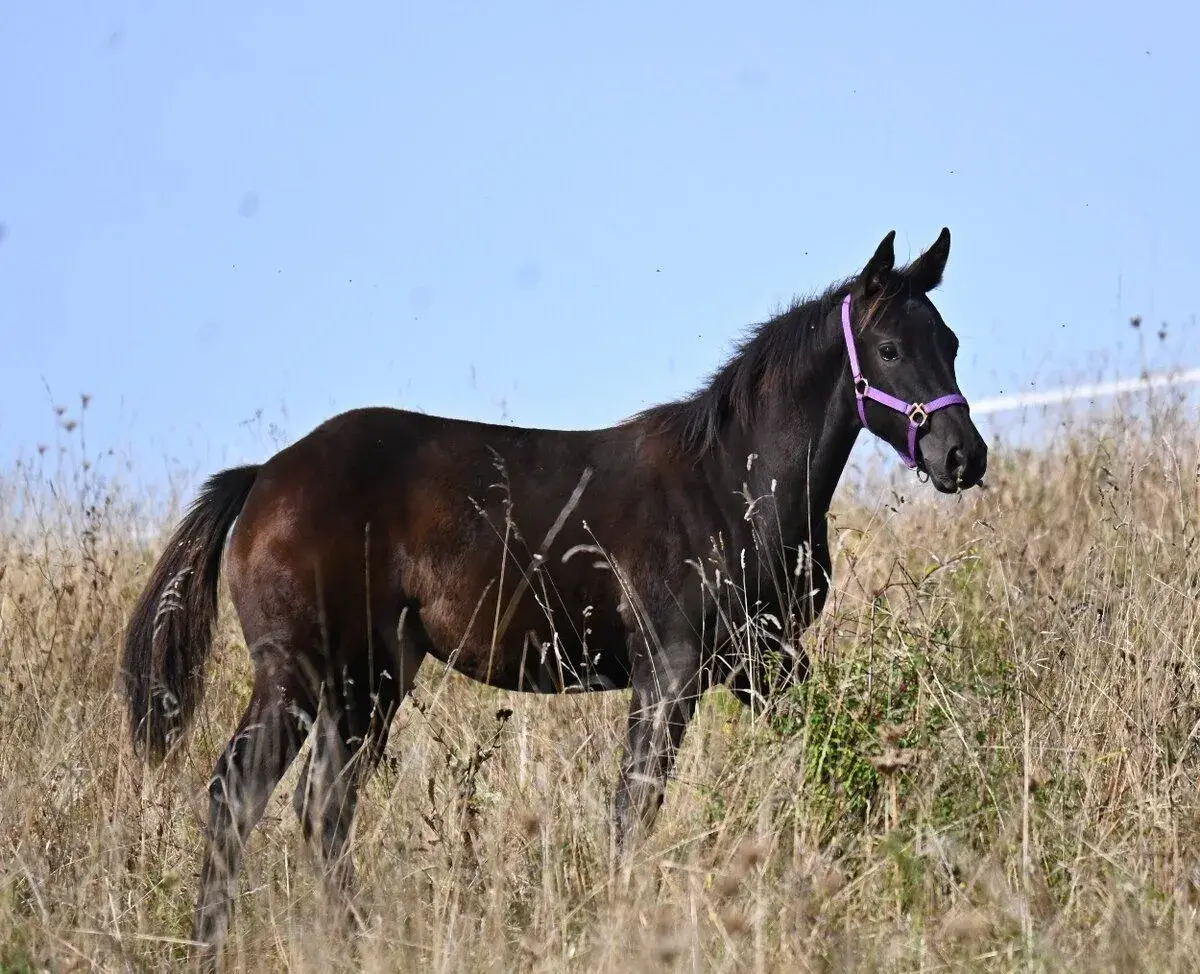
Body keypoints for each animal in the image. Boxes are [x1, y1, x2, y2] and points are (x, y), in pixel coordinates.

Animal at [121, 227, 987, 964]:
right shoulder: (669, 669)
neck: (729, 484)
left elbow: (830, 750)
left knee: (322, 806)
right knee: (238, 794)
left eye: (949, 343)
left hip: (368, 679)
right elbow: (634, 808)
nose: (963, 456)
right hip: (299, 671)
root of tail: (263, 476)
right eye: (888, 348)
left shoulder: (762, 659)